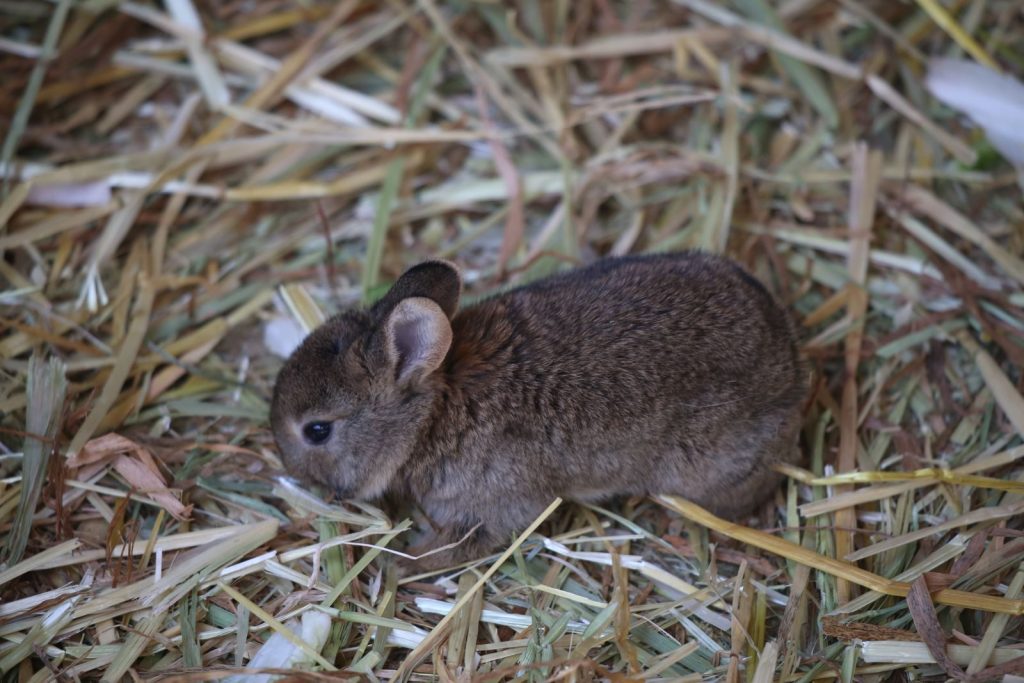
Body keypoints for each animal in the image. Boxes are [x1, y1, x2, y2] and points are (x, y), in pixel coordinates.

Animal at [271, 252, 807, 570]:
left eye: (316, 431)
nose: (287, 464)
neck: (431, 415)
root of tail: (791, 365)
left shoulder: (492, 503)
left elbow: (462, 544)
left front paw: (400, 562)